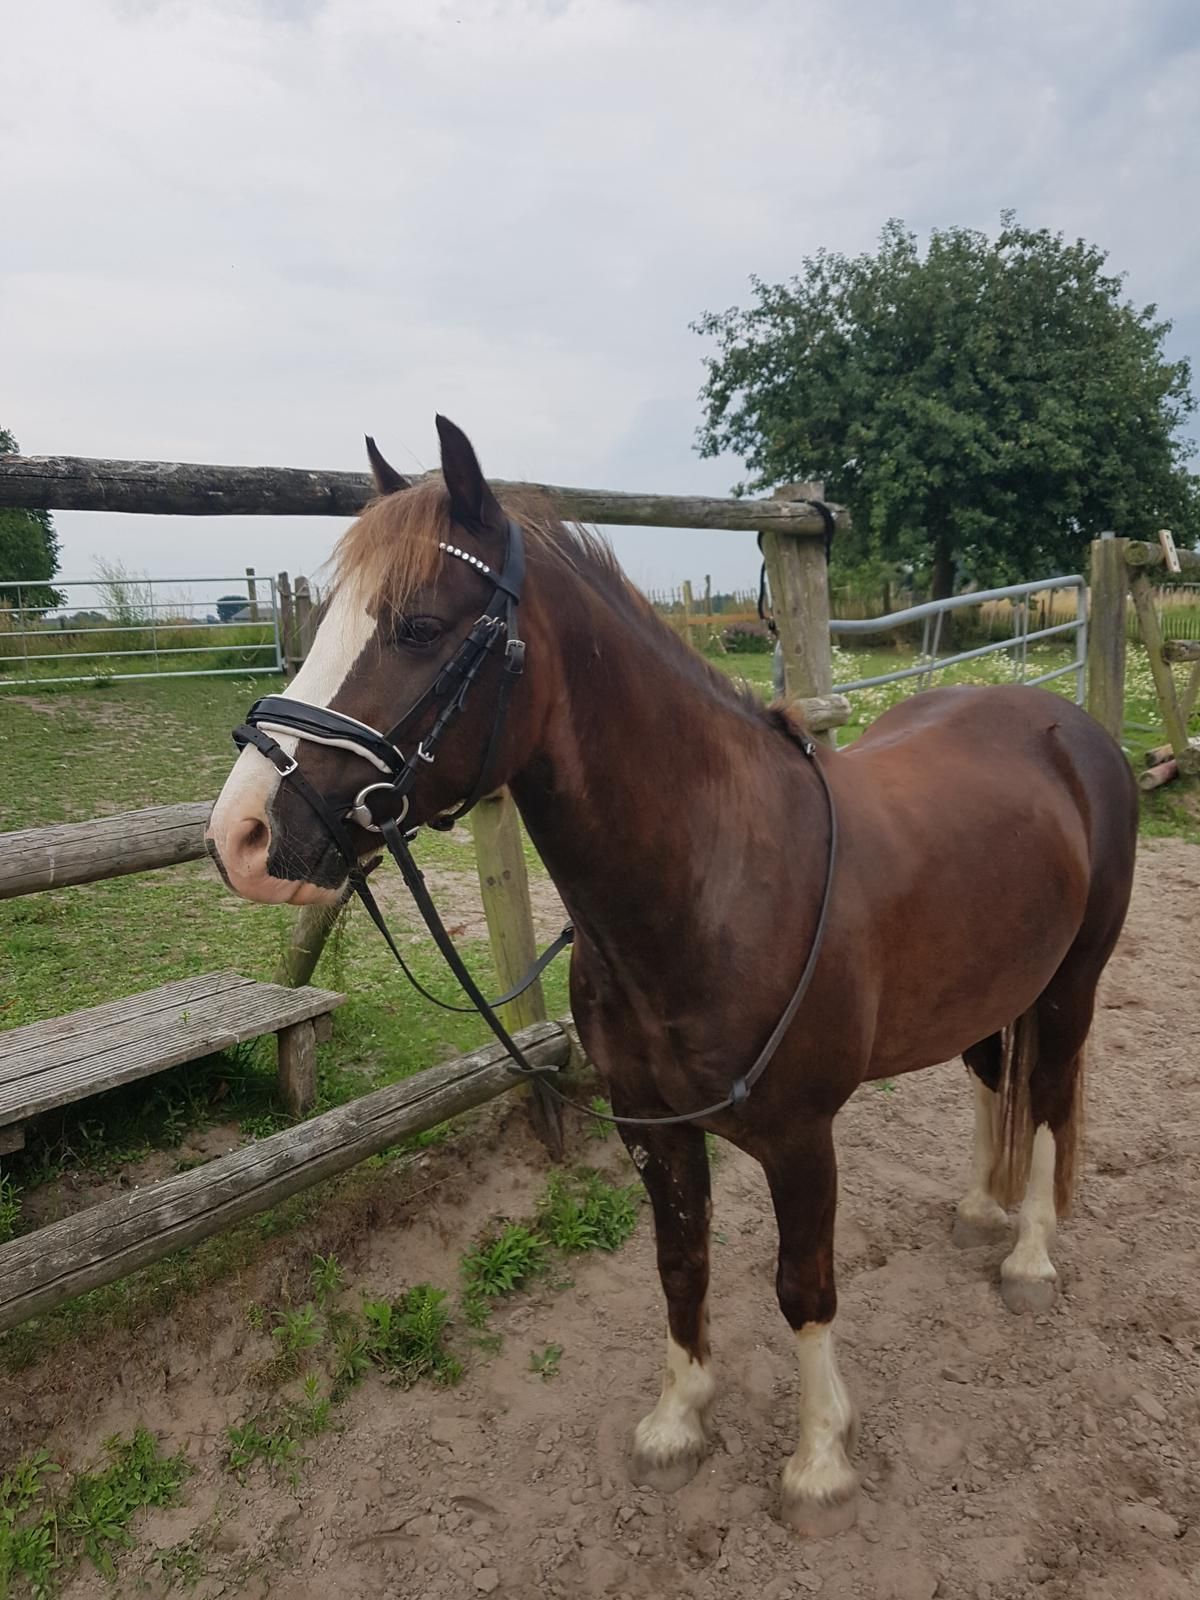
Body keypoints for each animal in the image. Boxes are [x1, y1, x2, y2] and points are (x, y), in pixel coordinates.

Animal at [207, 417, 1138, 1537]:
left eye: (420, 627)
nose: (242, 834)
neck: (715, 880)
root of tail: (1067, 731)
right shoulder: (650, 1124)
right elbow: (679, 1260)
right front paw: (678, 1420)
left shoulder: (800, 1138)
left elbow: (802, 1286)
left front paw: (819, 1463)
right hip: (990, 989)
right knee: (994, 1083)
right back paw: (979, 1211)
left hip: (1071, 984)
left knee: (1047, 1099)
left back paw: (1028, 1253)